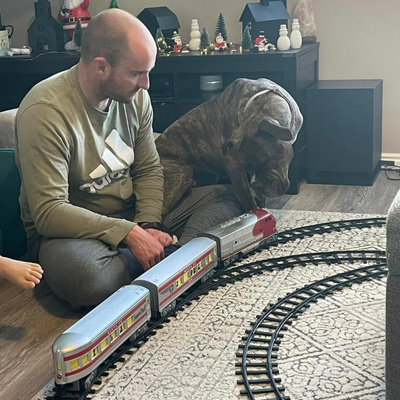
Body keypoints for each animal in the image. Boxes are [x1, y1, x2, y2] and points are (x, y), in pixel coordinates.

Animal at [156, 78, 304, 216]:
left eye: (266, 161)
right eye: (248, 167)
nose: (256, 185)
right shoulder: (233, 164)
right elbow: (247, 198)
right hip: (181, 172)